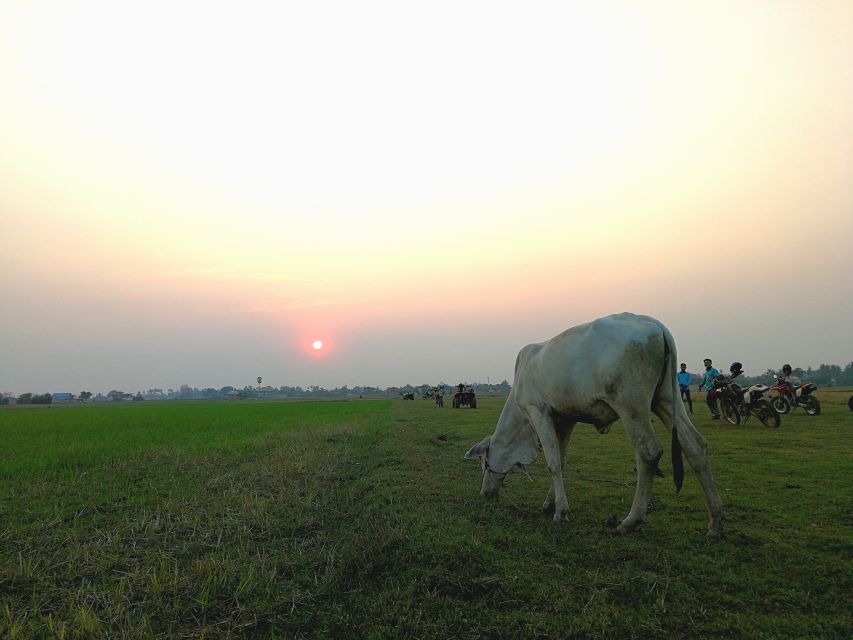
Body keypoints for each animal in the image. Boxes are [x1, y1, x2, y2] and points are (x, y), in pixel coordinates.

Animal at [466, 312, 724, 536]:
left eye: (484, 462)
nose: (484, 493)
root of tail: (655, 325)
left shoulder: (539, 412)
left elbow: (553, 463)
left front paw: (561, 512)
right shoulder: (565, 419)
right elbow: (562, 460)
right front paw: (551, 503)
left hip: (631, 404)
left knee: (648, 452)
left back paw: (631, 520)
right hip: (667, 399)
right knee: (695, 446)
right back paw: (715, 523)